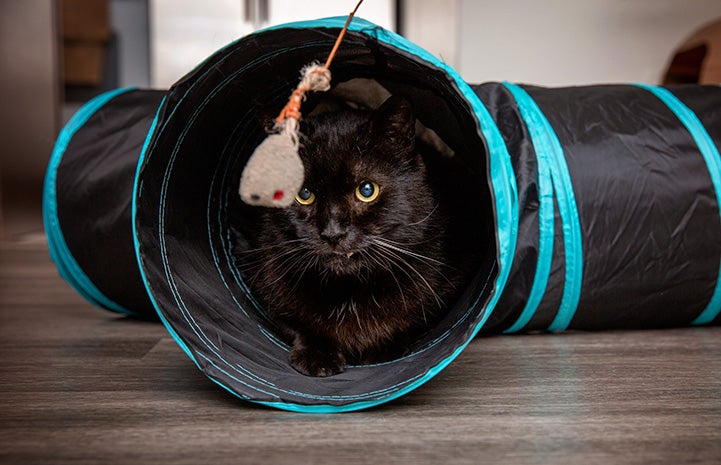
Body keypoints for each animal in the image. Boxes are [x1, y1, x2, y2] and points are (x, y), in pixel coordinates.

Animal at [235, 95, 484, 376]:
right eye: (304, 193)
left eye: (366, 190)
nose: (333, 232)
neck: (349, 292)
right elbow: (293, 321)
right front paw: (317, 356)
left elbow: (413, 322)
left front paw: (382, 351)